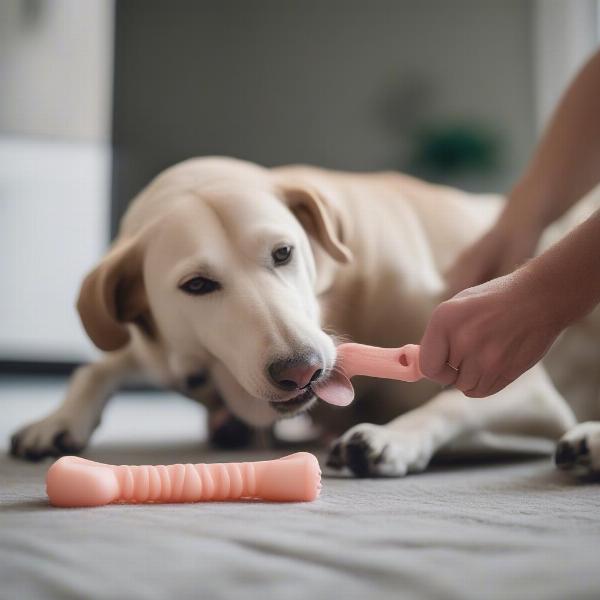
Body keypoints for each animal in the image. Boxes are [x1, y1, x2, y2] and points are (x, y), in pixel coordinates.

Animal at [9, 157, 600, 476]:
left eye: (283, 253)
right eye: (196, 285)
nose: (303, 369)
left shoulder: (515, 373)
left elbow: (452, 402)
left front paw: (391, 438)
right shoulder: (166, 354)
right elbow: (100, 365)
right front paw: (56, 420)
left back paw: (588, 440)